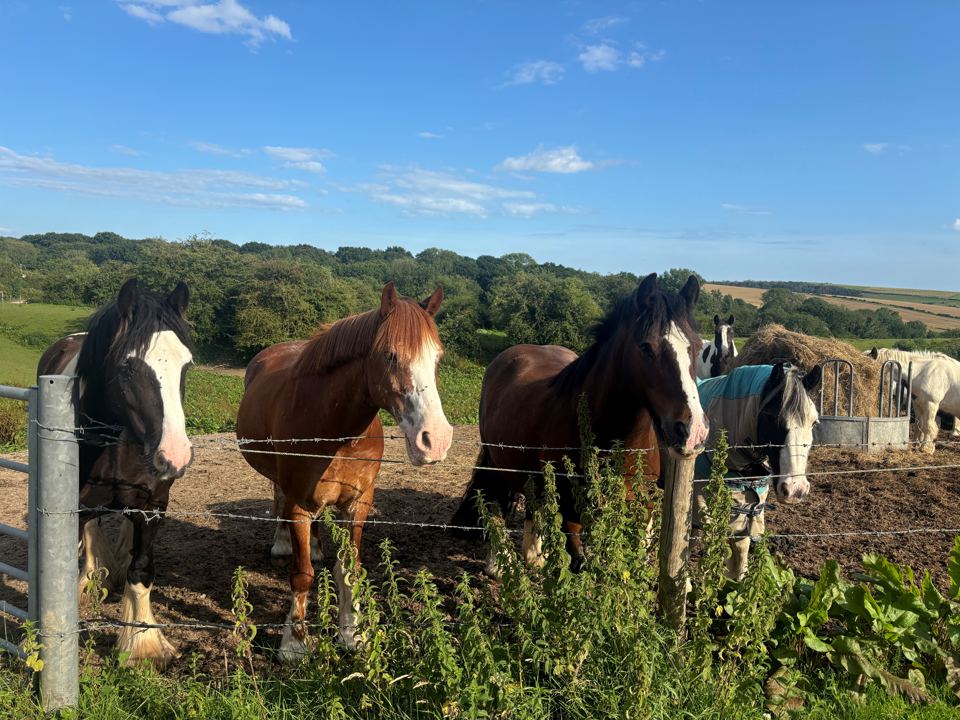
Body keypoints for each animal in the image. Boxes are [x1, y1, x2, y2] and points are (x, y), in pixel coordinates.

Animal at [37, 278, 194, 667]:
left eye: (186, 365)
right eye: (127, 366)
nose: (175, 456)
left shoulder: (153, 508)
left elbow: (141, 571)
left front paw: (144, 644)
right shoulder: (72, 510)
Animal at [236, 282, 453, 660]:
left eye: (437, 358)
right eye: (391, 356)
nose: (435, 440)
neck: (337, 430)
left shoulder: (358, 504)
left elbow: (349, 570)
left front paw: (353, 634)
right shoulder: (298, 505)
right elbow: (302, 574)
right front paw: (294, 644)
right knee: (277, 497)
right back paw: (282, 543)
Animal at [450, 273, 709, 571]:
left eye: (698, 347)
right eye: (646, 347)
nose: (692, 430)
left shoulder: (640, 506)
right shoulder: (571, 513)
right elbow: (579, 565)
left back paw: (534, 555)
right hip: (497, 459)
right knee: (496, 498)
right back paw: (499, 561)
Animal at [692, 363, 821, 579]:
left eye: (814, 422)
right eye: (773, 417)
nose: (795, 490)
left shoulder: (748, 506)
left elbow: (740, 550)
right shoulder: (701, 506)